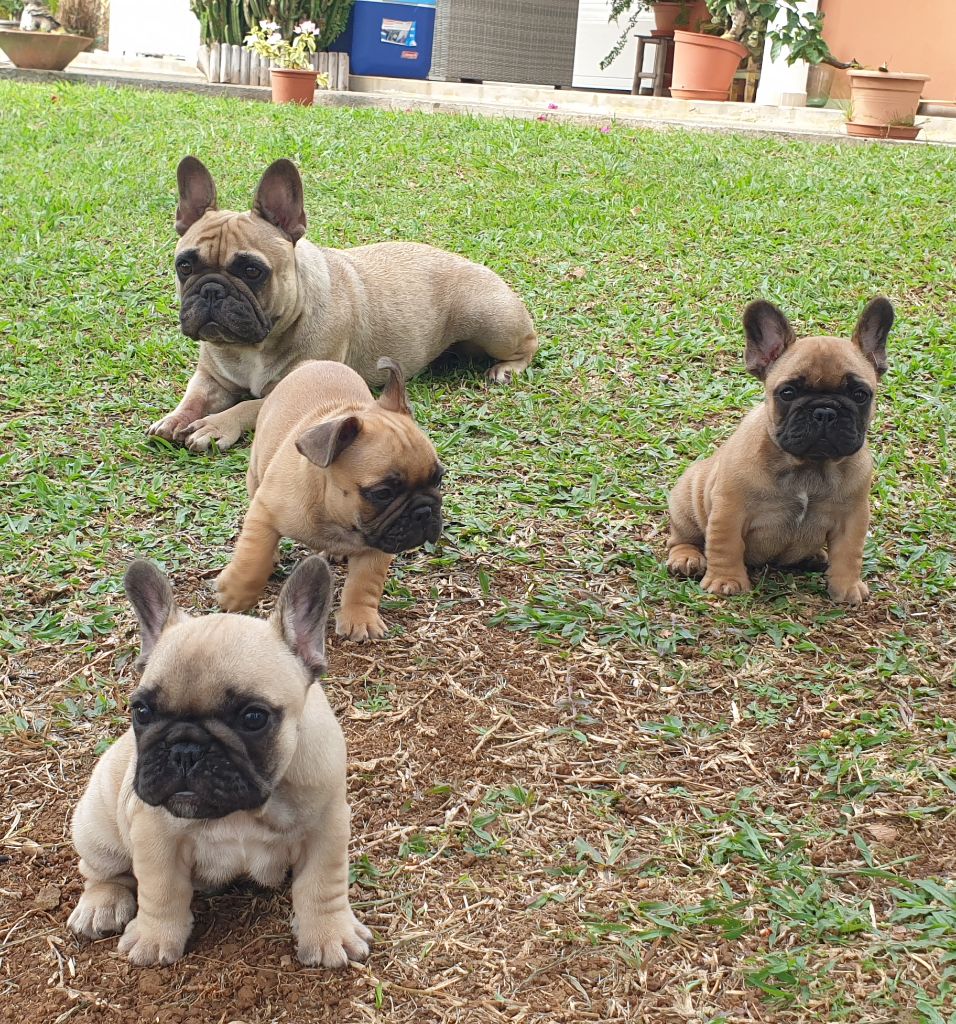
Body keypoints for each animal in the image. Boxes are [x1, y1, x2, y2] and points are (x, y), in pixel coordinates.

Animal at [67, 557, 372, 962]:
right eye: (142, 711)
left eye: (253, 717)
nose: (185, 749)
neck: (243, 811)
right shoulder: (154, 835)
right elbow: (161, 890)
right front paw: (153, 937)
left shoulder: (326, 827)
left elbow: (323, 884)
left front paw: (329, 934)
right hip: (97, 824)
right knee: (102, 870)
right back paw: (102, 903)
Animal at [149, 153, 540, 450]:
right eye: (185, 266)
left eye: (251, 270)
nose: (211, 289)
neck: (254, 346)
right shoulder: (210, 378)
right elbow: (193, 397)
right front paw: (175, 418)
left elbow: (250, 407)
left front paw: (215, 425)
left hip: (490, 320)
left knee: (528, 344)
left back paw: (506, 369)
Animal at [216, 356, 446, 634]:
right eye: (383, 493)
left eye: (438, 479)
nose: (424, 511)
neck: (335, 518)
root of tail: (314, 361)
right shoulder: (265, 512)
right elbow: (252, 556)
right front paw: (236, 594)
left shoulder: (382, 540)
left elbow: (365, 581)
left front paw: (360, 618)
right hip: (256, 472)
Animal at [671, 296, 892, 602]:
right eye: (787, 393)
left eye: (860, 395)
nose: (825, 411)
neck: (809, 465)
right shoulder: (729, 511)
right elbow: (726, 546)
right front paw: (726, 580)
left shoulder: (852, 518)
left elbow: (849, 554)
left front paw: (847, 586)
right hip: (686, 501)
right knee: (683, 537)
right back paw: (686, 558)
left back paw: (813, 557)